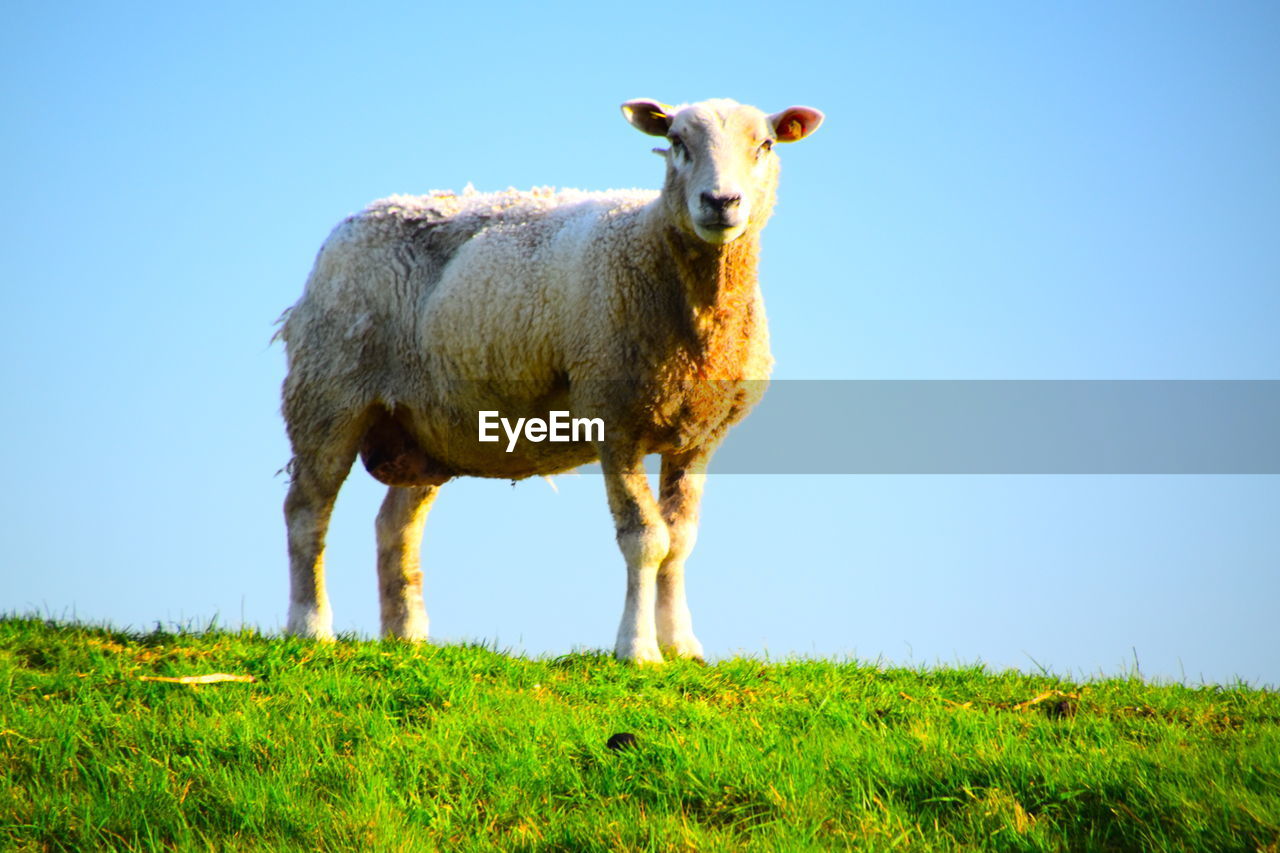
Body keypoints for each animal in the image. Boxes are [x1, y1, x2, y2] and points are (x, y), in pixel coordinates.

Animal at [275, 96, 824, 660]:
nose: (720, 201)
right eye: (677, 143)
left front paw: (682, 645)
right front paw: (637, 649)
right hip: (327, 388)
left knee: (395, 527)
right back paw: (310, 627)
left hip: (425, 425)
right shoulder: (614, 419)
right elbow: (645, 540)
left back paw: (408, 638)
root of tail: (356, 220)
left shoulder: (698, 438)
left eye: (765, 145)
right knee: (307, 511)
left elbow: (680, 541)